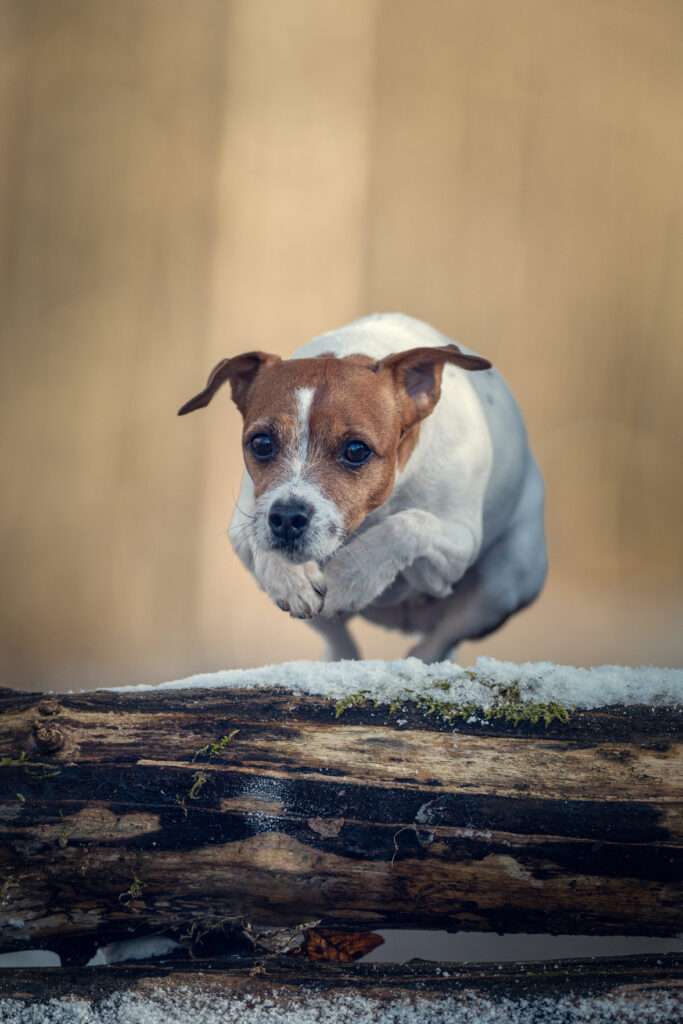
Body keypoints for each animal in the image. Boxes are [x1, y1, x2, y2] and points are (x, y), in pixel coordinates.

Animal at [179, 313, 548, 663]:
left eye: (356, 450)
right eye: (261, 443)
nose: (286, 518)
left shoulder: (458, 546)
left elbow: (409, 524)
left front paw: (351, 577)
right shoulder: (247, 521)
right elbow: (260, 538)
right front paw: (291, 578)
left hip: (508, 579)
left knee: (438, 641)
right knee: (340, 641)